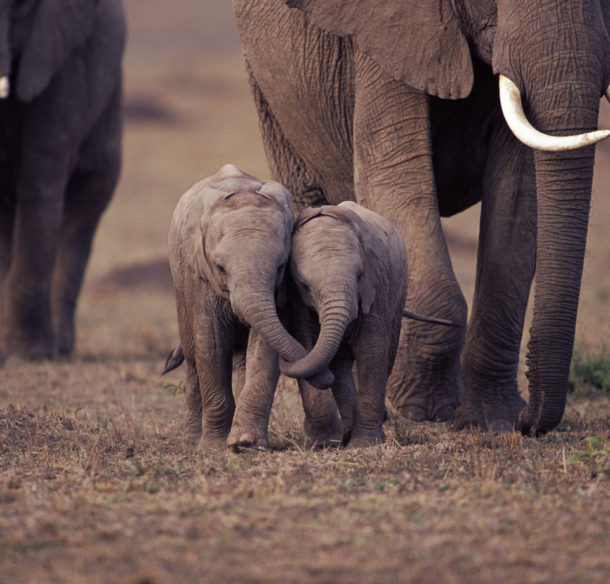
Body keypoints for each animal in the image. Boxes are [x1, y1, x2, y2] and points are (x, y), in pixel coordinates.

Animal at [0, 0, 125, 362]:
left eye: (18, 7)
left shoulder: (64, 59)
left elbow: (42, 179)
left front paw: (28, 354)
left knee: (85, 205)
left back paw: (61, 347)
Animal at [166, 167, 338, 450]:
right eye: (220, 267)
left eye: (281, 266)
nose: (327, 377)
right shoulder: (200, 277)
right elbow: (212, 346)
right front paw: (214, 447)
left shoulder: (279, 290)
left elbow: (263, 348)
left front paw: (246, 443)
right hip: (180, 284)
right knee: (192, 356)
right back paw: (192, 440)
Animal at [280, 201, 456, 448]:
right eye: (304, 285)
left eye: (360, 275)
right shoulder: (297, 301)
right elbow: (306, 344)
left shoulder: (377, 285)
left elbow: (372, 351)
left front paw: (365, 444)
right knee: (341, 363)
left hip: (397, 295)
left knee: (386, 352)